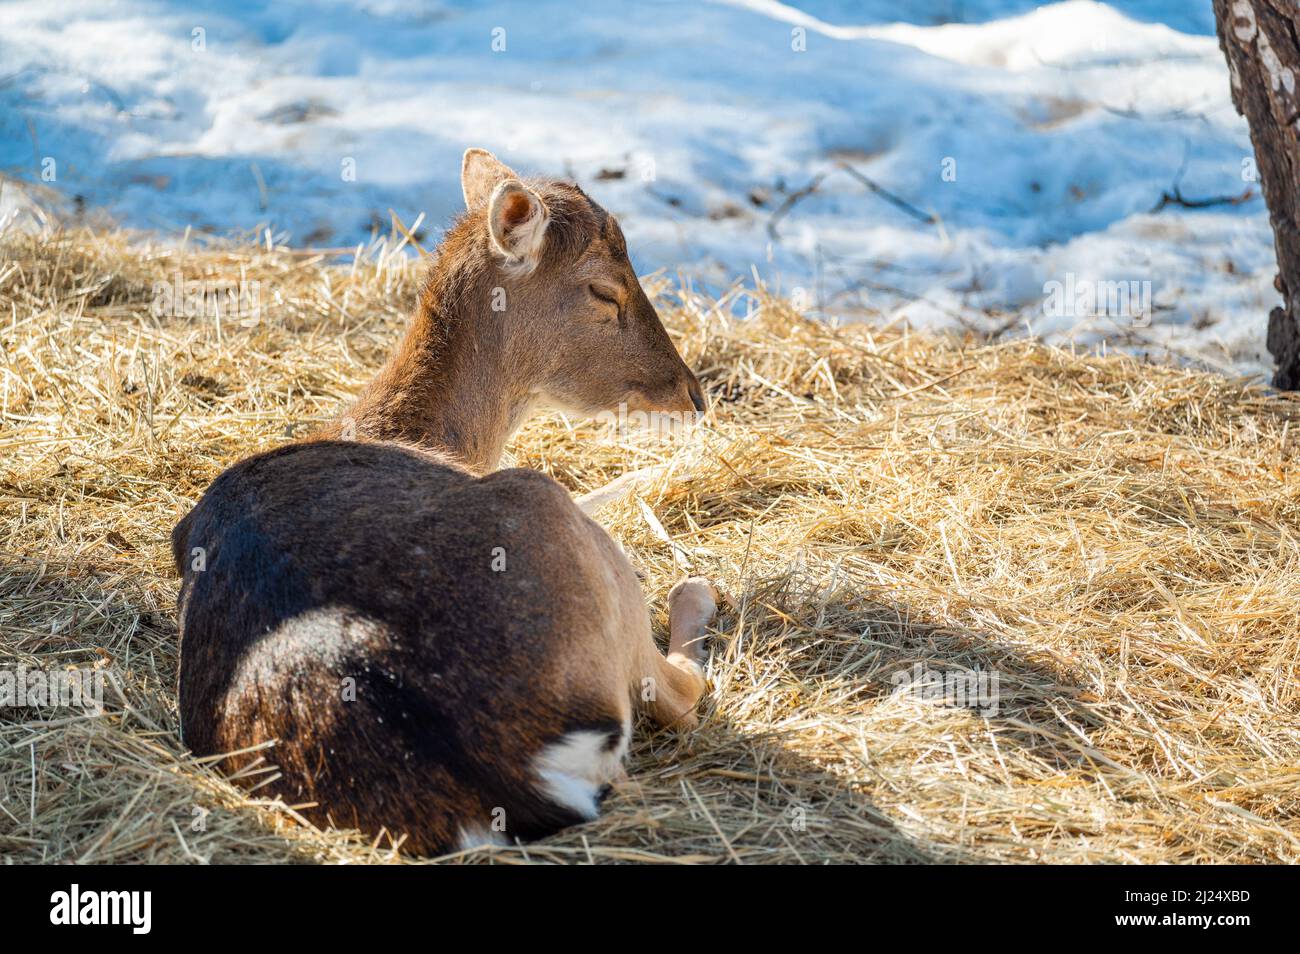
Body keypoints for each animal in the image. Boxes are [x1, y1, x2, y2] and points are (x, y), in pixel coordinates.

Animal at [171, 149, 720, 855]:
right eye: (604, 290)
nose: (693, 395)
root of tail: (513, 775)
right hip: (554, 517)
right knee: (679, 692)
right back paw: (695, 587)